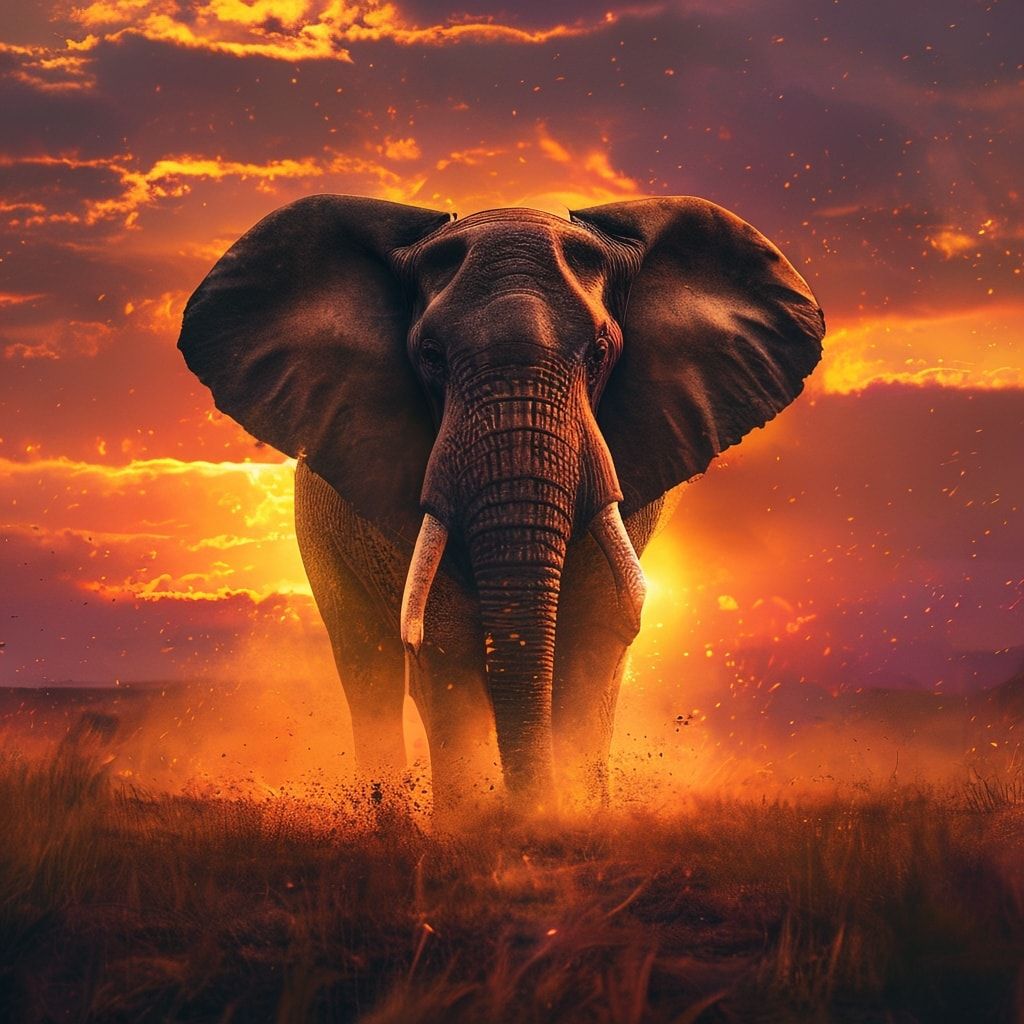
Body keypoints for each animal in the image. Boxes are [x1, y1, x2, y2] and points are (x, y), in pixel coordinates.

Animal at [177, 194, 824, 812]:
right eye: (430, 355)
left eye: (598, 353)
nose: (530, 817)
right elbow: (445, 642)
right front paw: (486, 829)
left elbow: (594, 640)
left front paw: (566, 821)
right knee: (368, 668)